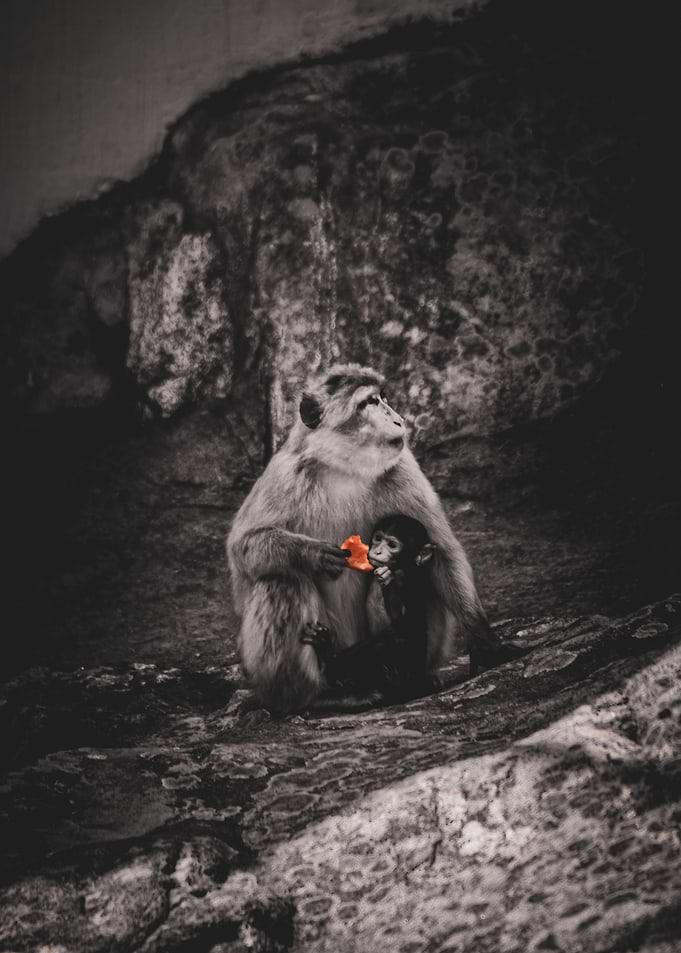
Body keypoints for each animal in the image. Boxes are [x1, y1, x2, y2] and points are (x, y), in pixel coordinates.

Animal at [227, 362, 527, 716]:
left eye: (383, 397)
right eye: (369, 402)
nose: (398, 419)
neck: (343, 468)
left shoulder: (402, 468)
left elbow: (440, 552)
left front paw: (484, 642)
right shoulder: (285, 474)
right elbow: (243, 548)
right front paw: (311, 554)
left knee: (397, 577)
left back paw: (405, 679)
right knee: (281, 580)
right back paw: (315, 697)